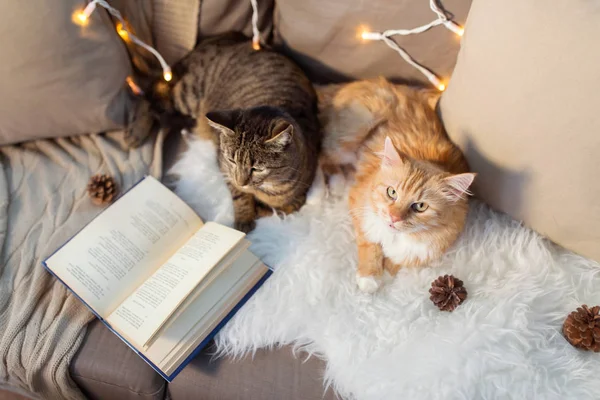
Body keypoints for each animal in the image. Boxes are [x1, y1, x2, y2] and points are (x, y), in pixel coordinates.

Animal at [128, 32, 322, 233]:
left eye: (257, 168)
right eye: (232, 160)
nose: (241, 181)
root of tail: (223, 38)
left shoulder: (304, 186)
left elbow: (289, 206)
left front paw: (265, 209)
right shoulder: (225, 168)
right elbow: (240, 196)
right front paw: (245, 217)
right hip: (190, 92)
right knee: (149, 93)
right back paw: (135, 132)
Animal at [316, 77, 476, 294]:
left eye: (420, 206)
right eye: (392, 193)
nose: (393, 217)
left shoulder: (426, 250)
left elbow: (398, 262)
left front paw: (385, 274)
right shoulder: (360, 207)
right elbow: (370, 245)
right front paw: (369, 277)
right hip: (351, 135)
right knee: (320, 155)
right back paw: (328, 188)